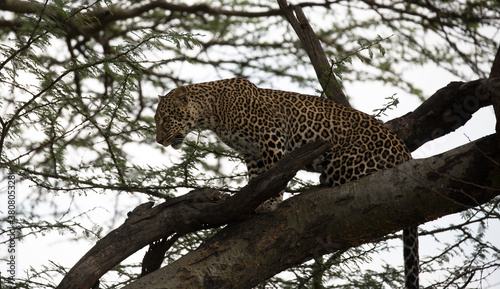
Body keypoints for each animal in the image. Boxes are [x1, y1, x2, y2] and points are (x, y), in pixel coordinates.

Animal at [155, 77, 418, 288]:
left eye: (165, 119)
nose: (158, 140)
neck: (212, 112)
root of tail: (405, 153)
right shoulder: (251, 153)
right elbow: (257, 177)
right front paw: (254, 201)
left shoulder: (270, 133)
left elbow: (274, 169)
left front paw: (271, 201)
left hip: (345, 162)